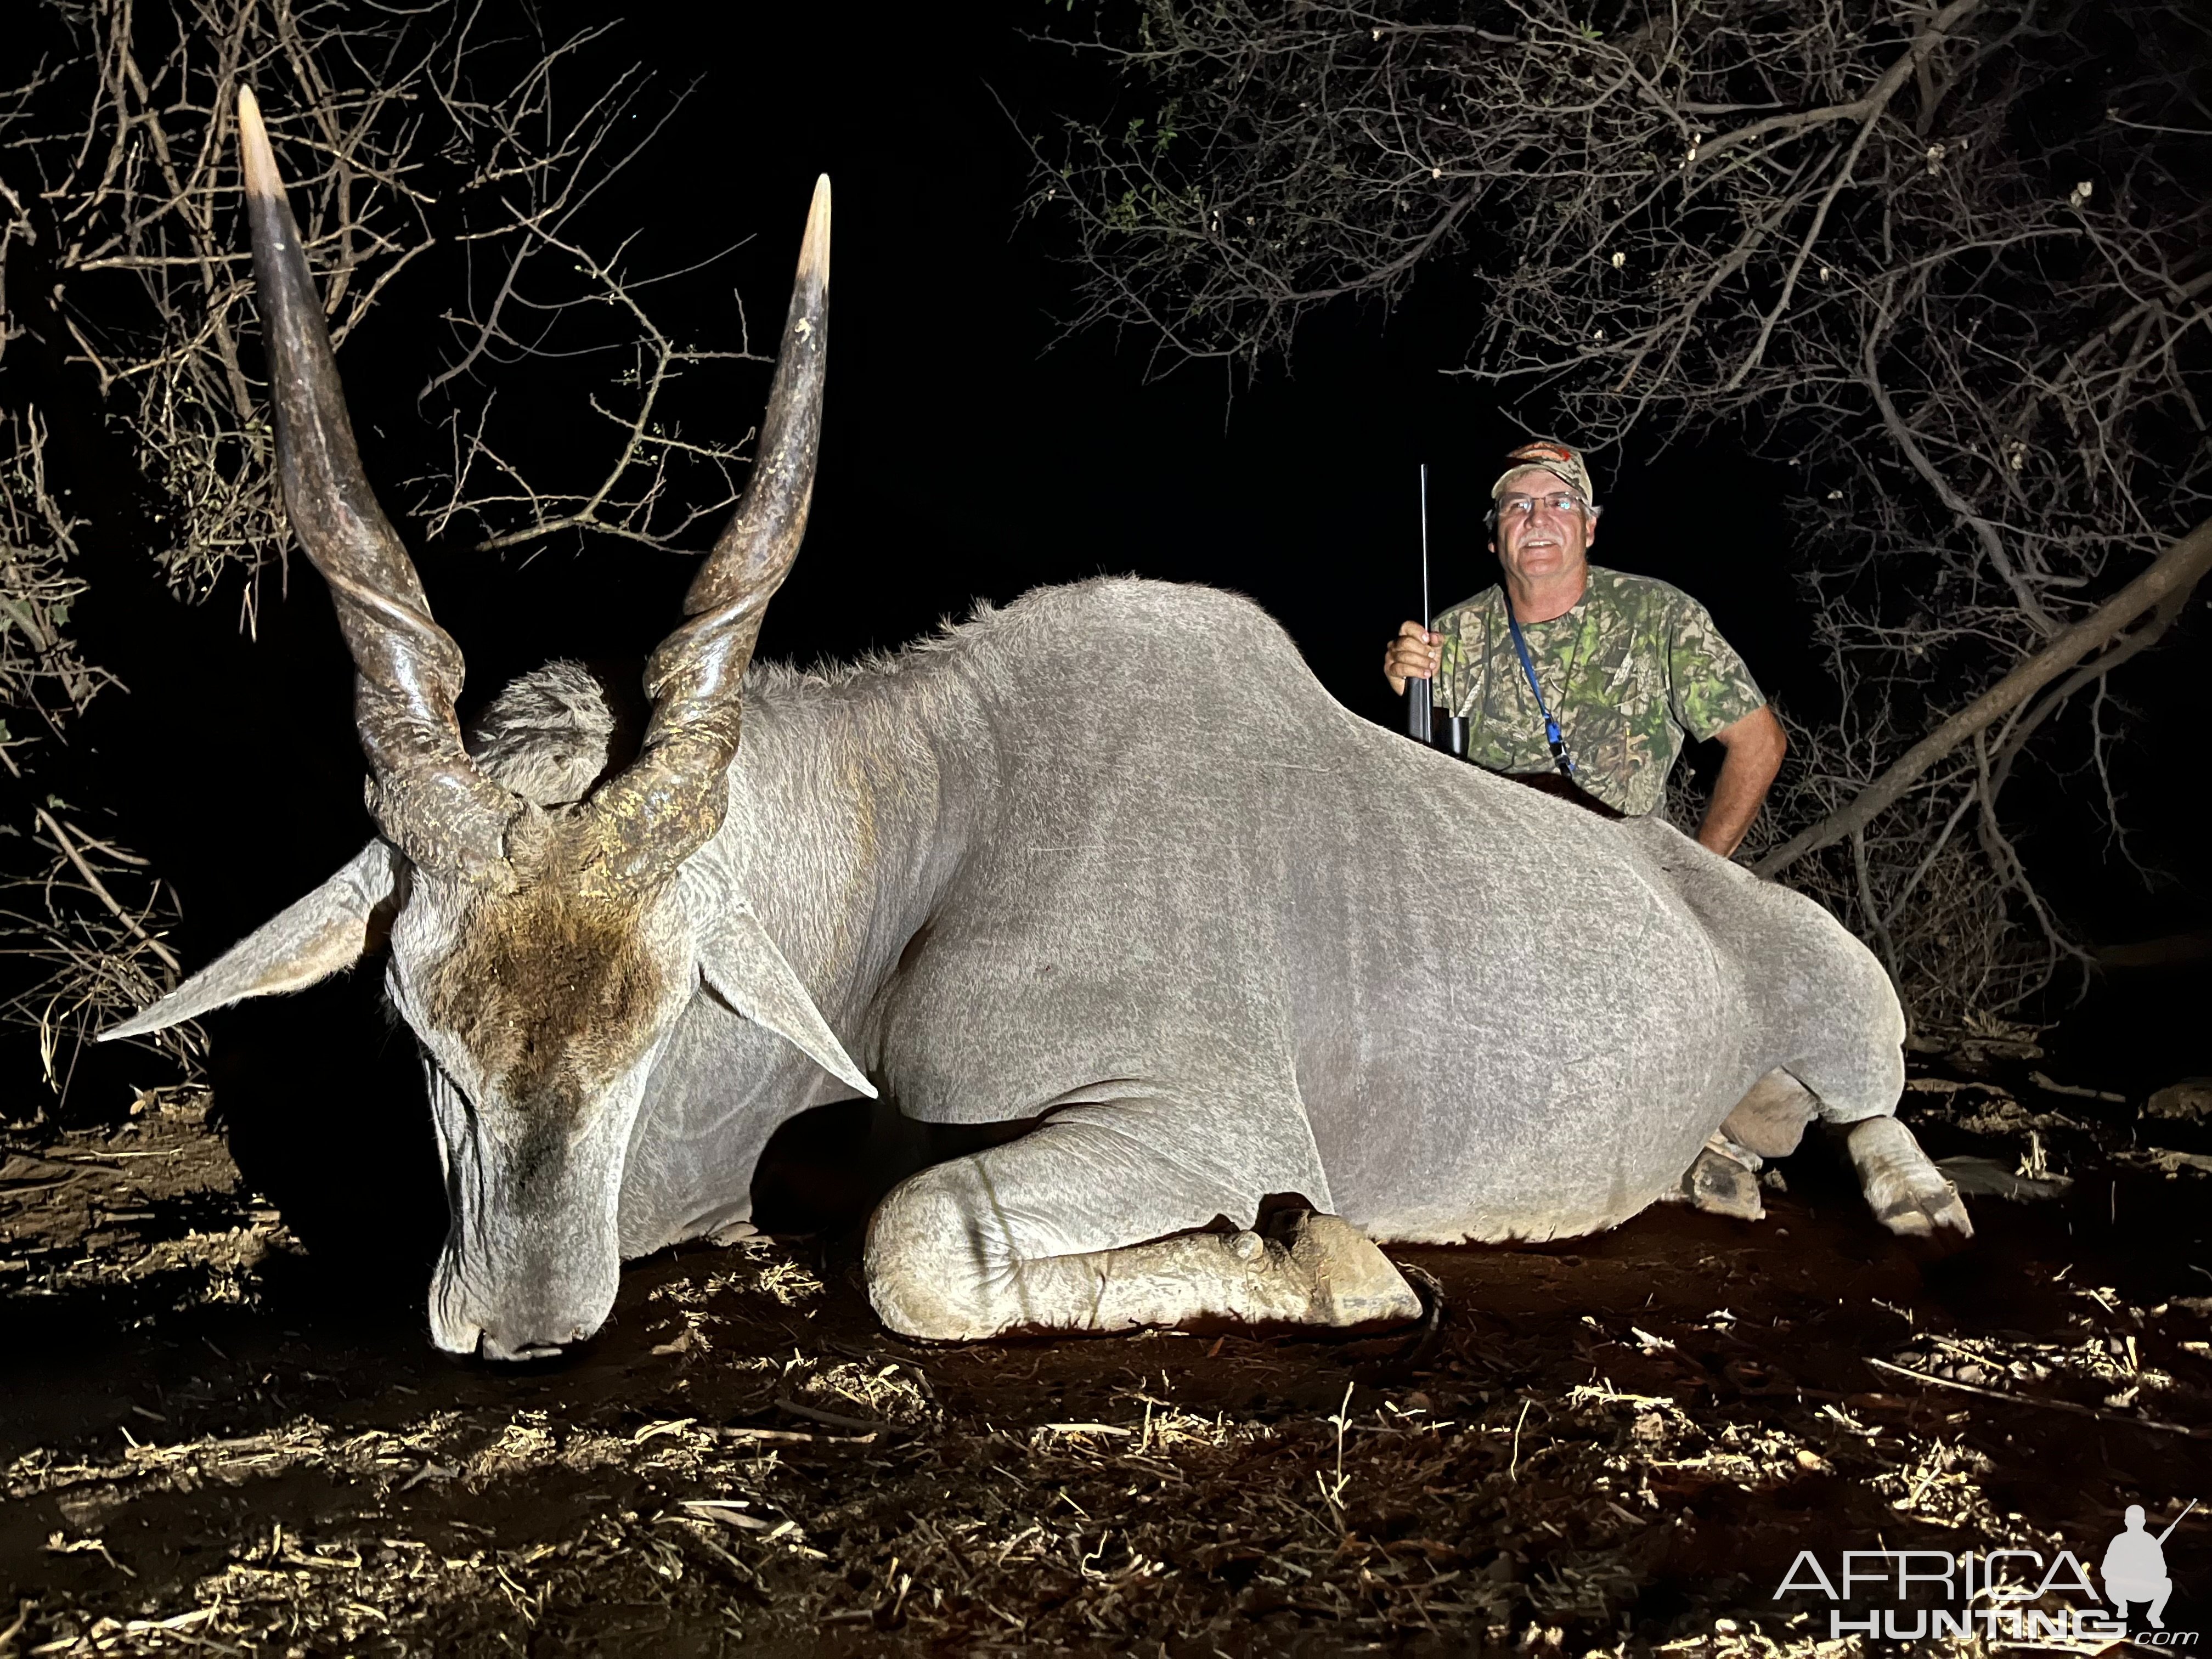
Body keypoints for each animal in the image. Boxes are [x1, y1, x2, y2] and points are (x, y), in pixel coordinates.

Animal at [108, 94, 1973, 1362]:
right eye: (411, 1022)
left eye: (668, 1014)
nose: (519, 1321)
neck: (935, 822)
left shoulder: (1207, 1126)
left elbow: (920, 1247)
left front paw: (1344, 1261)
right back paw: (1721, 1173)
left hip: (1849, 1014)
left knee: (1875, 1106)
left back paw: (1906, 1194)